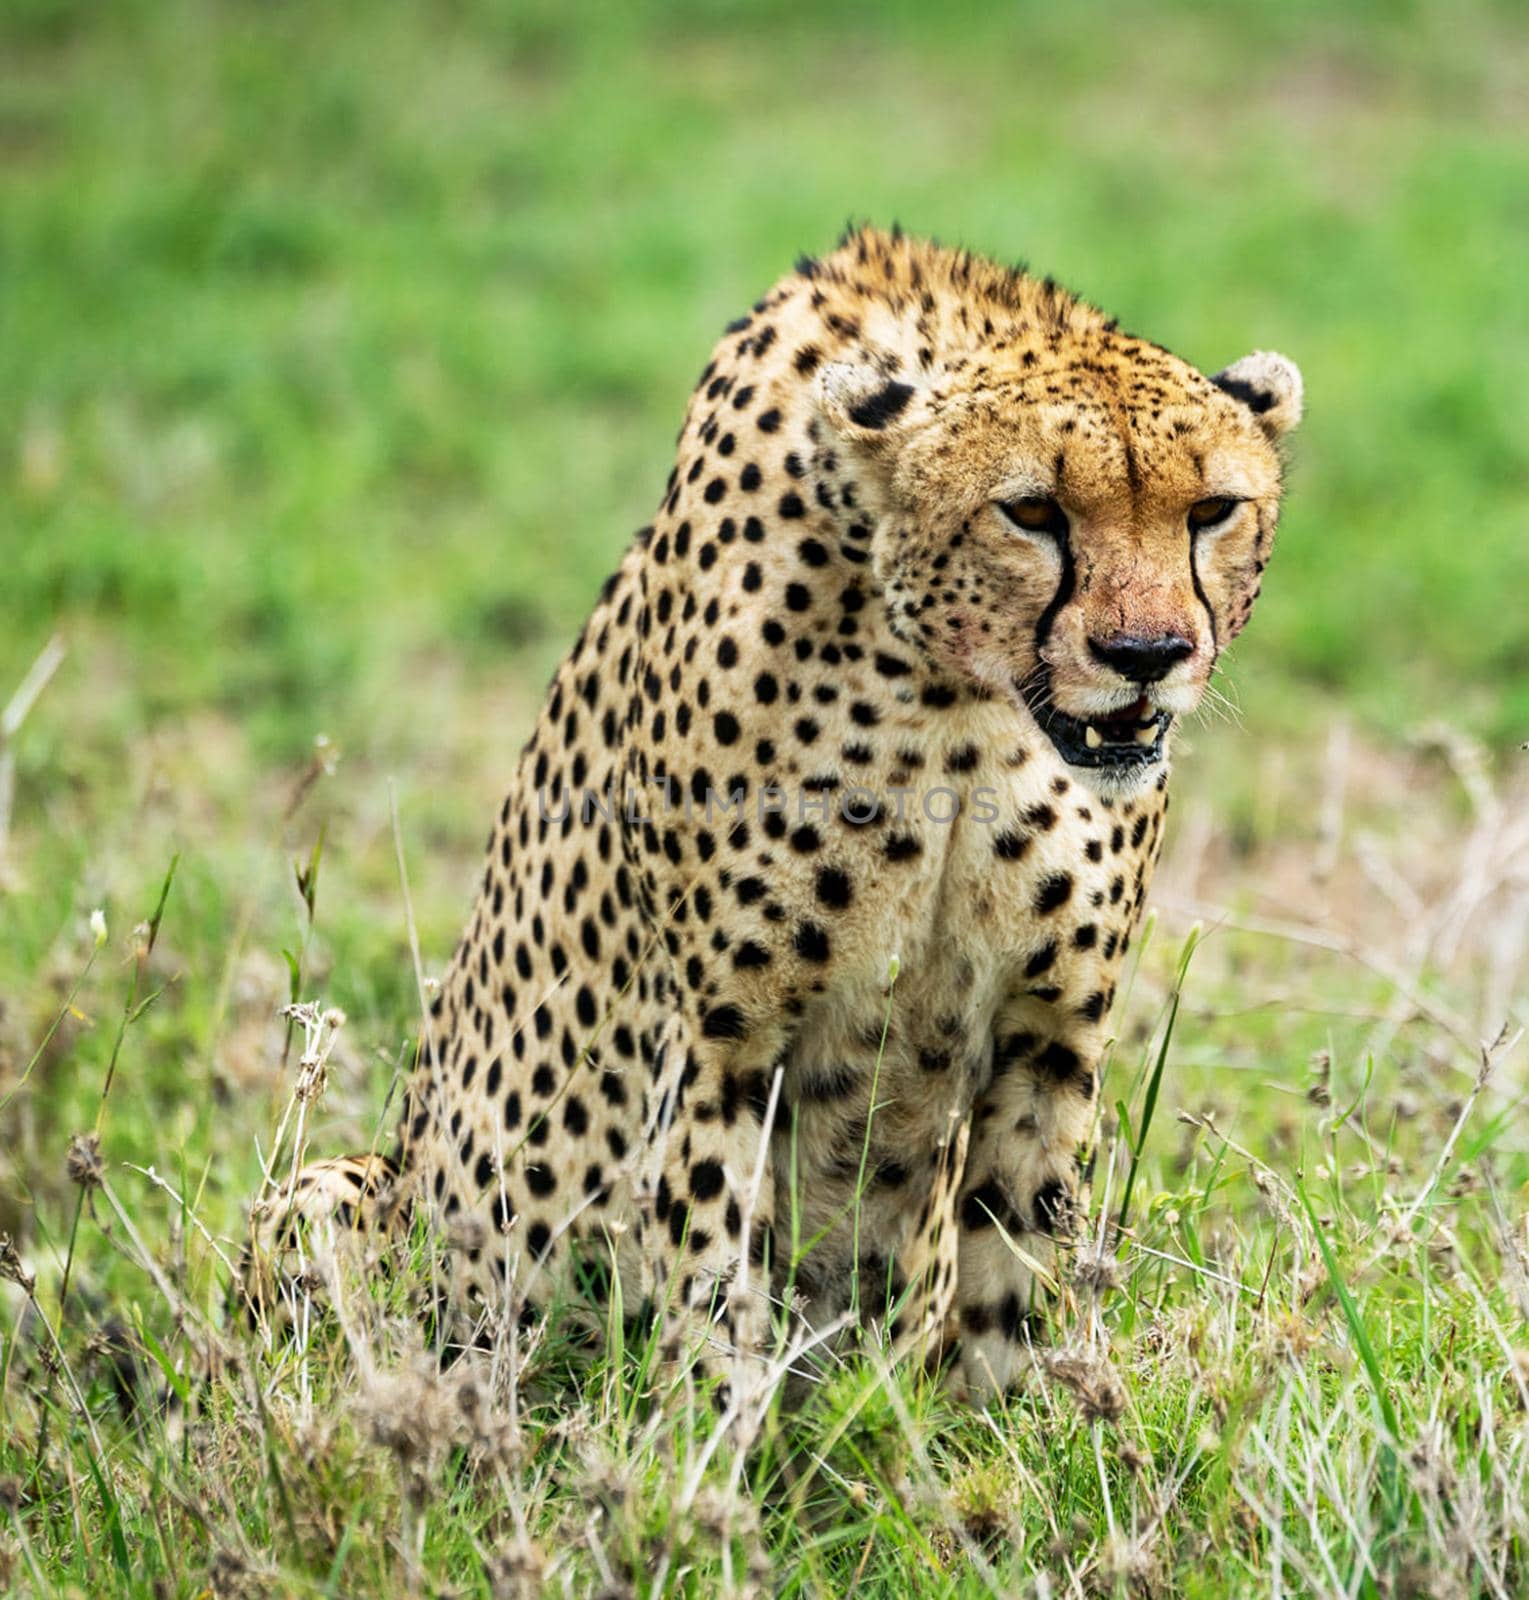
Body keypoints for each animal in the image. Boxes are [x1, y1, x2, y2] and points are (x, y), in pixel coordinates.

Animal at [251, 228, 1305, 1401]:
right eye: (1031, 511)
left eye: (1210, 511)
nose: (1147, 655)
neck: (959, 700)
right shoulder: (724, 1044)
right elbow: (714, 1299)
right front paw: (706, 1449)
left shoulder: (1050, 1033)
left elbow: (1010, 1284)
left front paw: (1008, 1437)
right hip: (340, 1194)